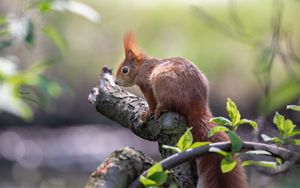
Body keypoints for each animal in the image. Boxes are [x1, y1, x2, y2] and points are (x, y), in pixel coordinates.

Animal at [113, 31, 247, 187]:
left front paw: (147, 113)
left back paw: (159, 109)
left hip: (160, 81)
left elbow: (151, 102)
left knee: (166, 104)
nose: (116, 82)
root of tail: (196, 103)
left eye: (125, 70)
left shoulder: (146, 85)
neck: (142, 66)